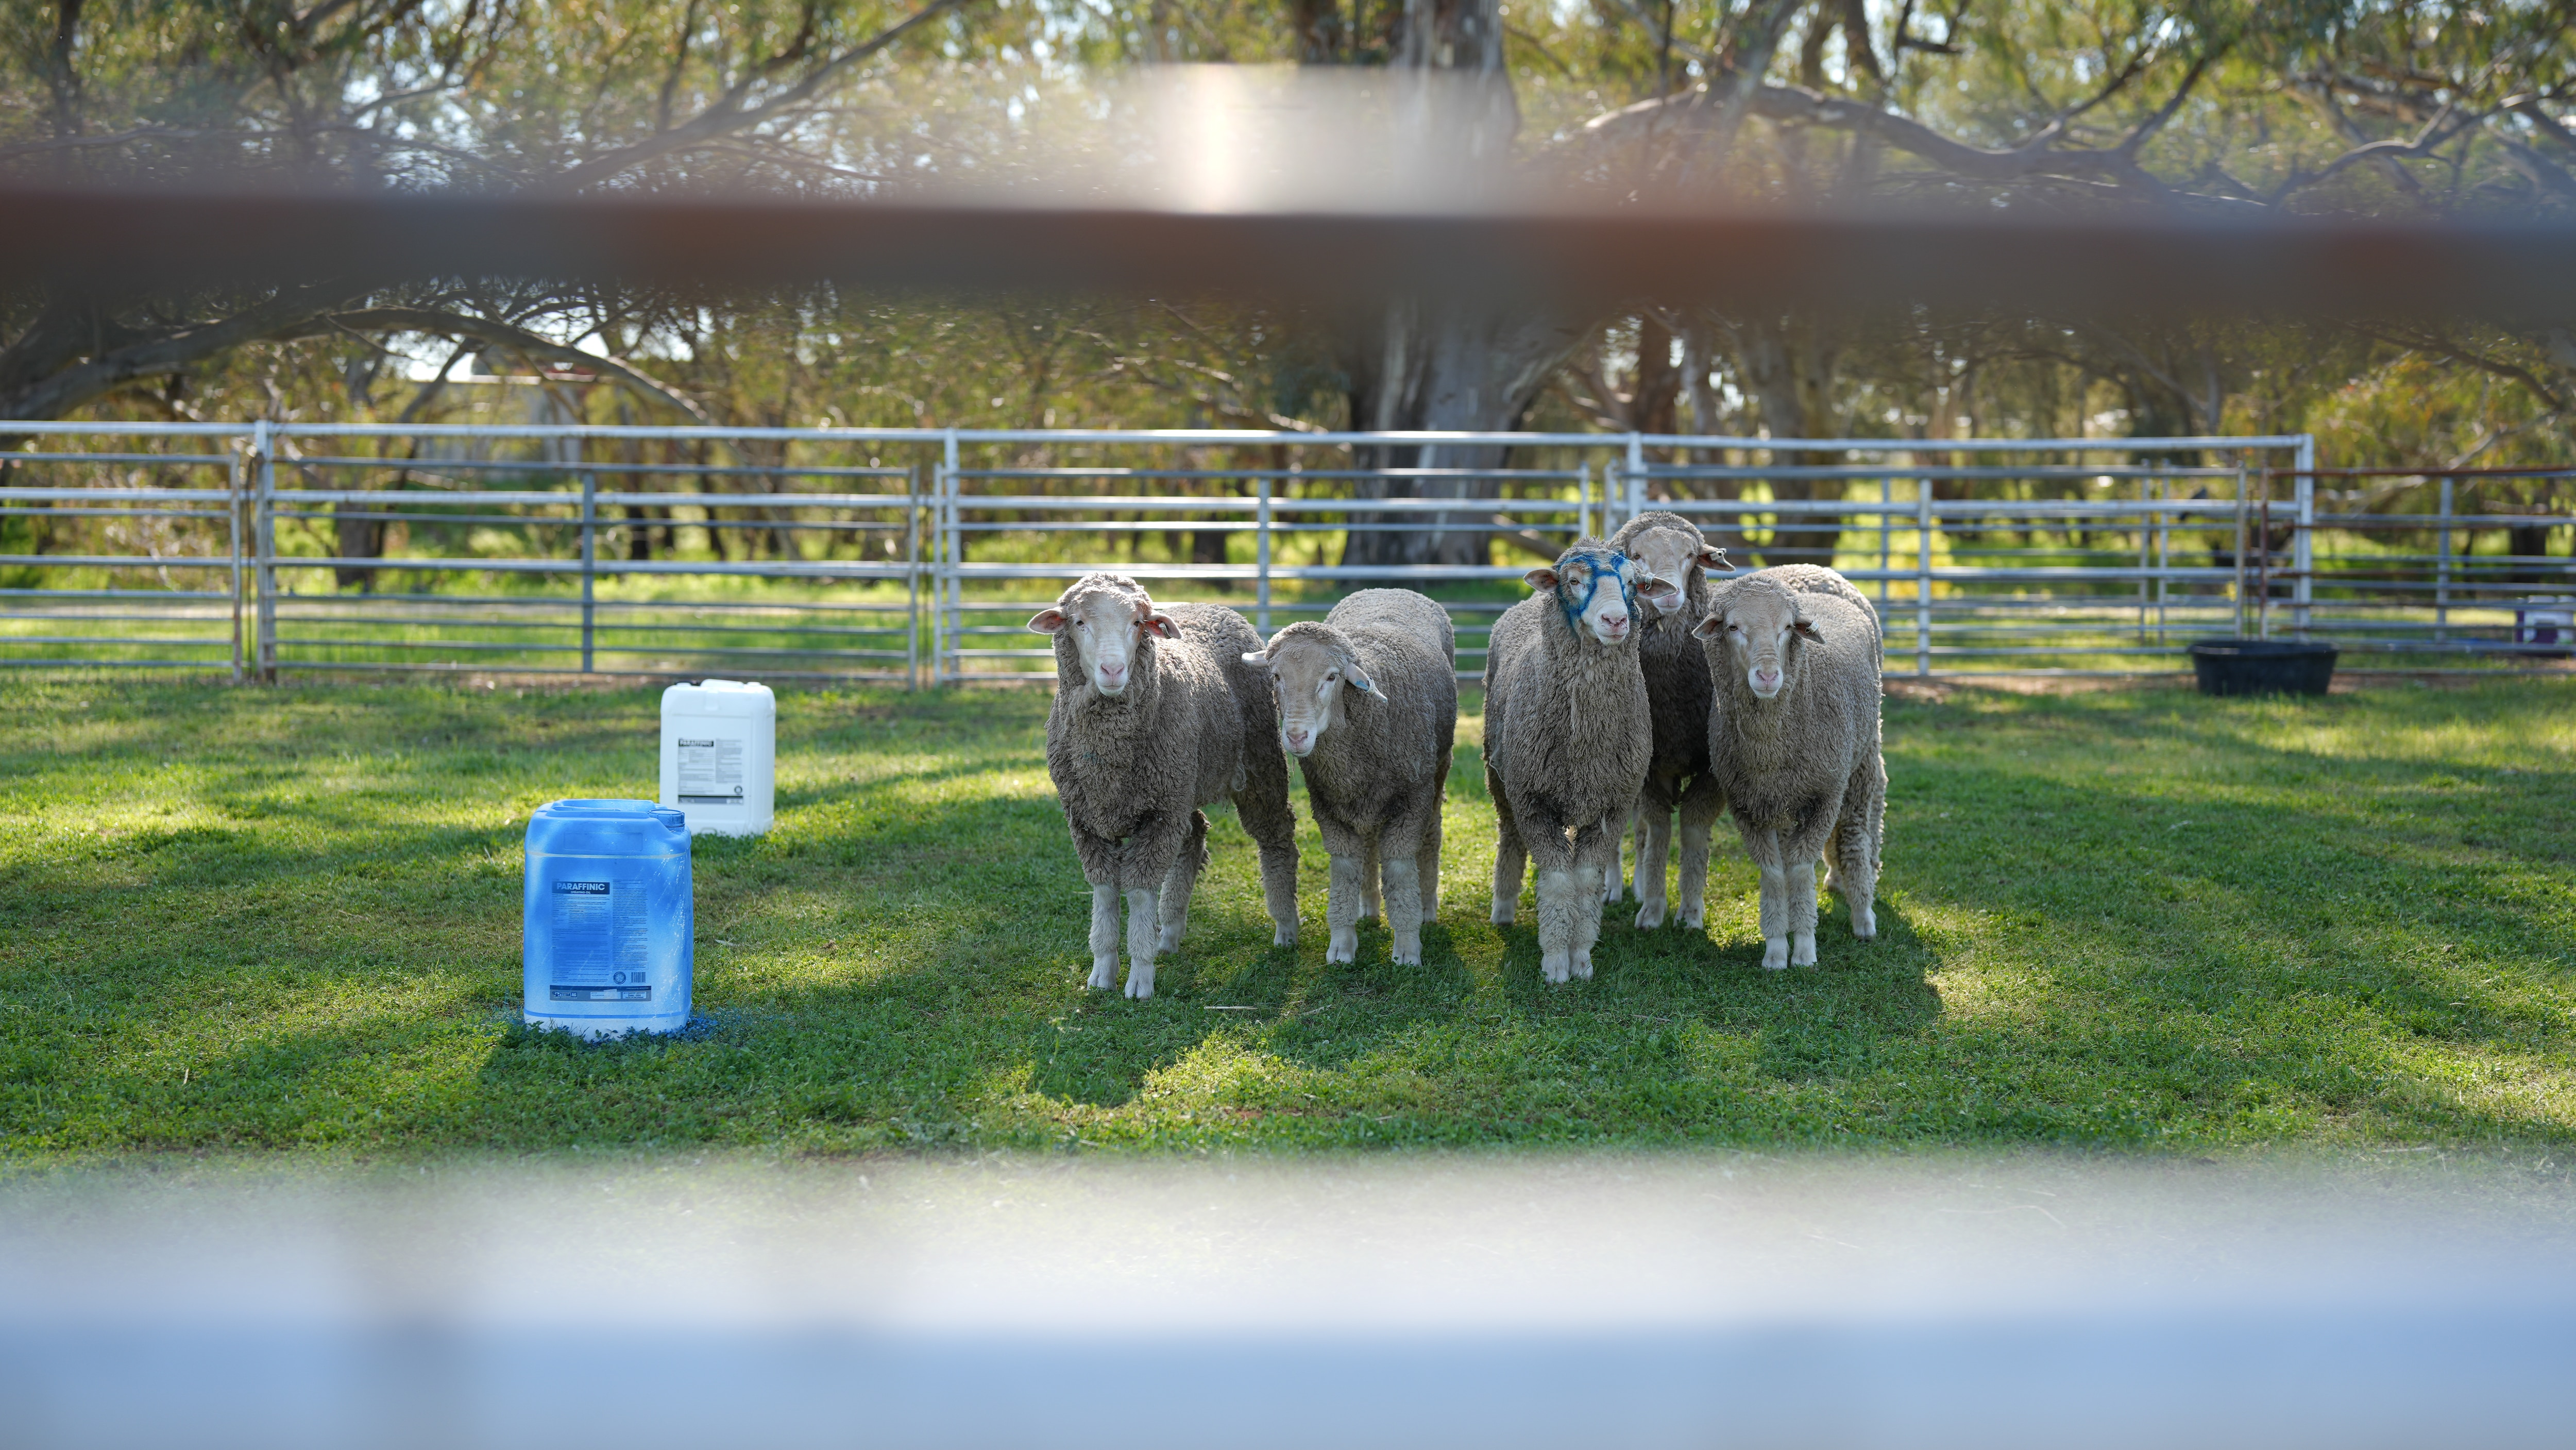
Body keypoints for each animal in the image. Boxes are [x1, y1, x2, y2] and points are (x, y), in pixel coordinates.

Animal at [1028, 573, 1300, 999]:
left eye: (1138, 623)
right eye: (1078, 622)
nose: (1112, 670)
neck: (1108, 759)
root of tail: (1214, 606)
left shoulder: (1158, 815)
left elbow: (1139, 891)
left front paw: (1140, 978)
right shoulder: (1087, 819)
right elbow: (1105, 892)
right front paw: (1103, 972)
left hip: (1258, 764)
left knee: (1275, 835)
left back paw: (1285, 926)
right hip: (1182, 783)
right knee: (1194, 835)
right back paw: (1169, 931)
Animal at [1243, 588, 1457, 967]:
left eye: (1332, 677)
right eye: (1276, 676)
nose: (1296, 737)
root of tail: (1389, 589)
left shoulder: (1411, 800)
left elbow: (1400, 870)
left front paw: (1407, 947)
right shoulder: (1329, 804)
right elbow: (1344, 869)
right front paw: (1342, 944)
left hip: (1437, 771)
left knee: (1431, 834)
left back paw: (1428, 906)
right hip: (1366, 798)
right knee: (1369, 844)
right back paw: (1368, 906)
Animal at [1483, 539, 1662, 983]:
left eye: (1632, 583)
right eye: (1575, 581)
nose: (1616, 620)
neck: (1585, 748)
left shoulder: (1612, 806)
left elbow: (1584, 882)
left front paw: (1581, 956)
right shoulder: (1533, 801)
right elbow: (1559, 883)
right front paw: (1555, 963)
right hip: (1501, 780)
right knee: (1509, 836)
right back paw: (1504, 908)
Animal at [1603, 510, 1732, 931]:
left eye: (1691, 555)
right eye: (1636, 556)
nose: (1669, 593)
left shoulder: (1712, 765)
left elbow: (1692, 828)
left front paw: (1689, 911)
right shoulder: (1649, 766)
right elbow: (1659, 830)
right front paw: (1654, 910)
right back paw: (1614, 887)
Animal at [1690, 569, 1886, 971]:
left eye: (1786, 628)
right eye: (1732, 627)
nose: (1768, 676)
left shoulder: (1825, 797)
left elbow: (1799, 869)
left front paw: (1806, 949)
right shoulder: (1748, 807)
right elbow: (1774, 873)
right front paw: (1777, 948)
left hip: (1861, 763)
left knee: (1857, 834)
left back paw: (1863, 916)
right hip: (1784, 799)